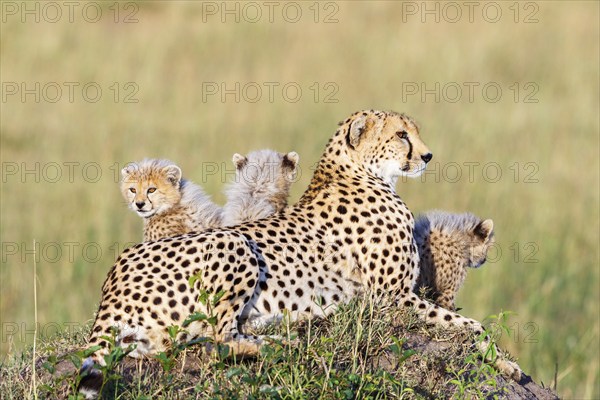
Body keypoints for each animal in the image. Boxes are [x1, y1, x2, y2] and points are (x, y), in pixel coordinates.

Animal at [79, 108, 520, 396]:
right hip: (236, 243)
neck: (358, 172)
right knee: (216, 339)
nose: (427, 156)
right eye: (401, 135)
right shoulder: (390, 298)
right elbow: (473, 325)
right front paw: (506, 363)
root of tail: (112, 281)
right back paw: (283, 343)